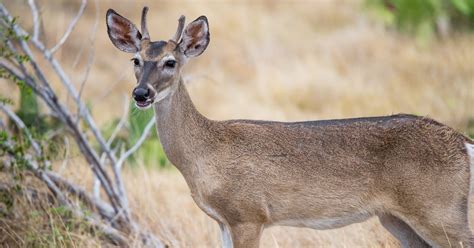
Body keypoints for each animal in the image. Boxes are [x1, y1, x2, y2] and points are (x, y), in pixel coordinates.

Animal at [106, 6, 474, 247]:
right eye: (135, 60)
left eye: (170, 62)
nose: (141, 94)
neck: (203, 154)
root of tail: (463, 142)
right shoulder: (224, 221)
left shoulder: (249, 214)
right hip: (398, 218)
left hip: (439, 210)